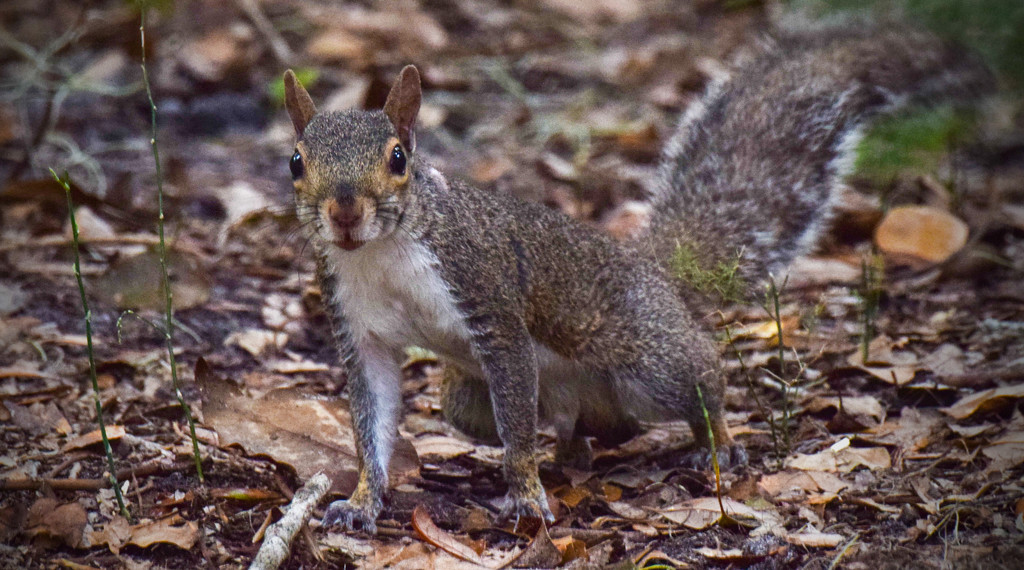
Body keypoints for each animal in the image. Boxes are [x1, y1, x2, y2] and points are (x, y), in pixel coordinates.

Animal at [280, 26, 991, 532]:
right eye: (295, 161)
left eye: (399, 158)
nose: (345, 212)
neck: (379, 253)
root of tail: (651, 271)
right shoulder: (359, 329)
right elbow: (372, 420)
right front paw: (362, 501)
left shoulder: (488, 296)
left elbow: (515, 425)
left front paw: (526, 496)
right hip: (469, 402)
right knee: (570, 427)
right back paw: (576, 453)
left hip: (648, 361)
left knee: (700, 377)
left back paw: (716, 441)